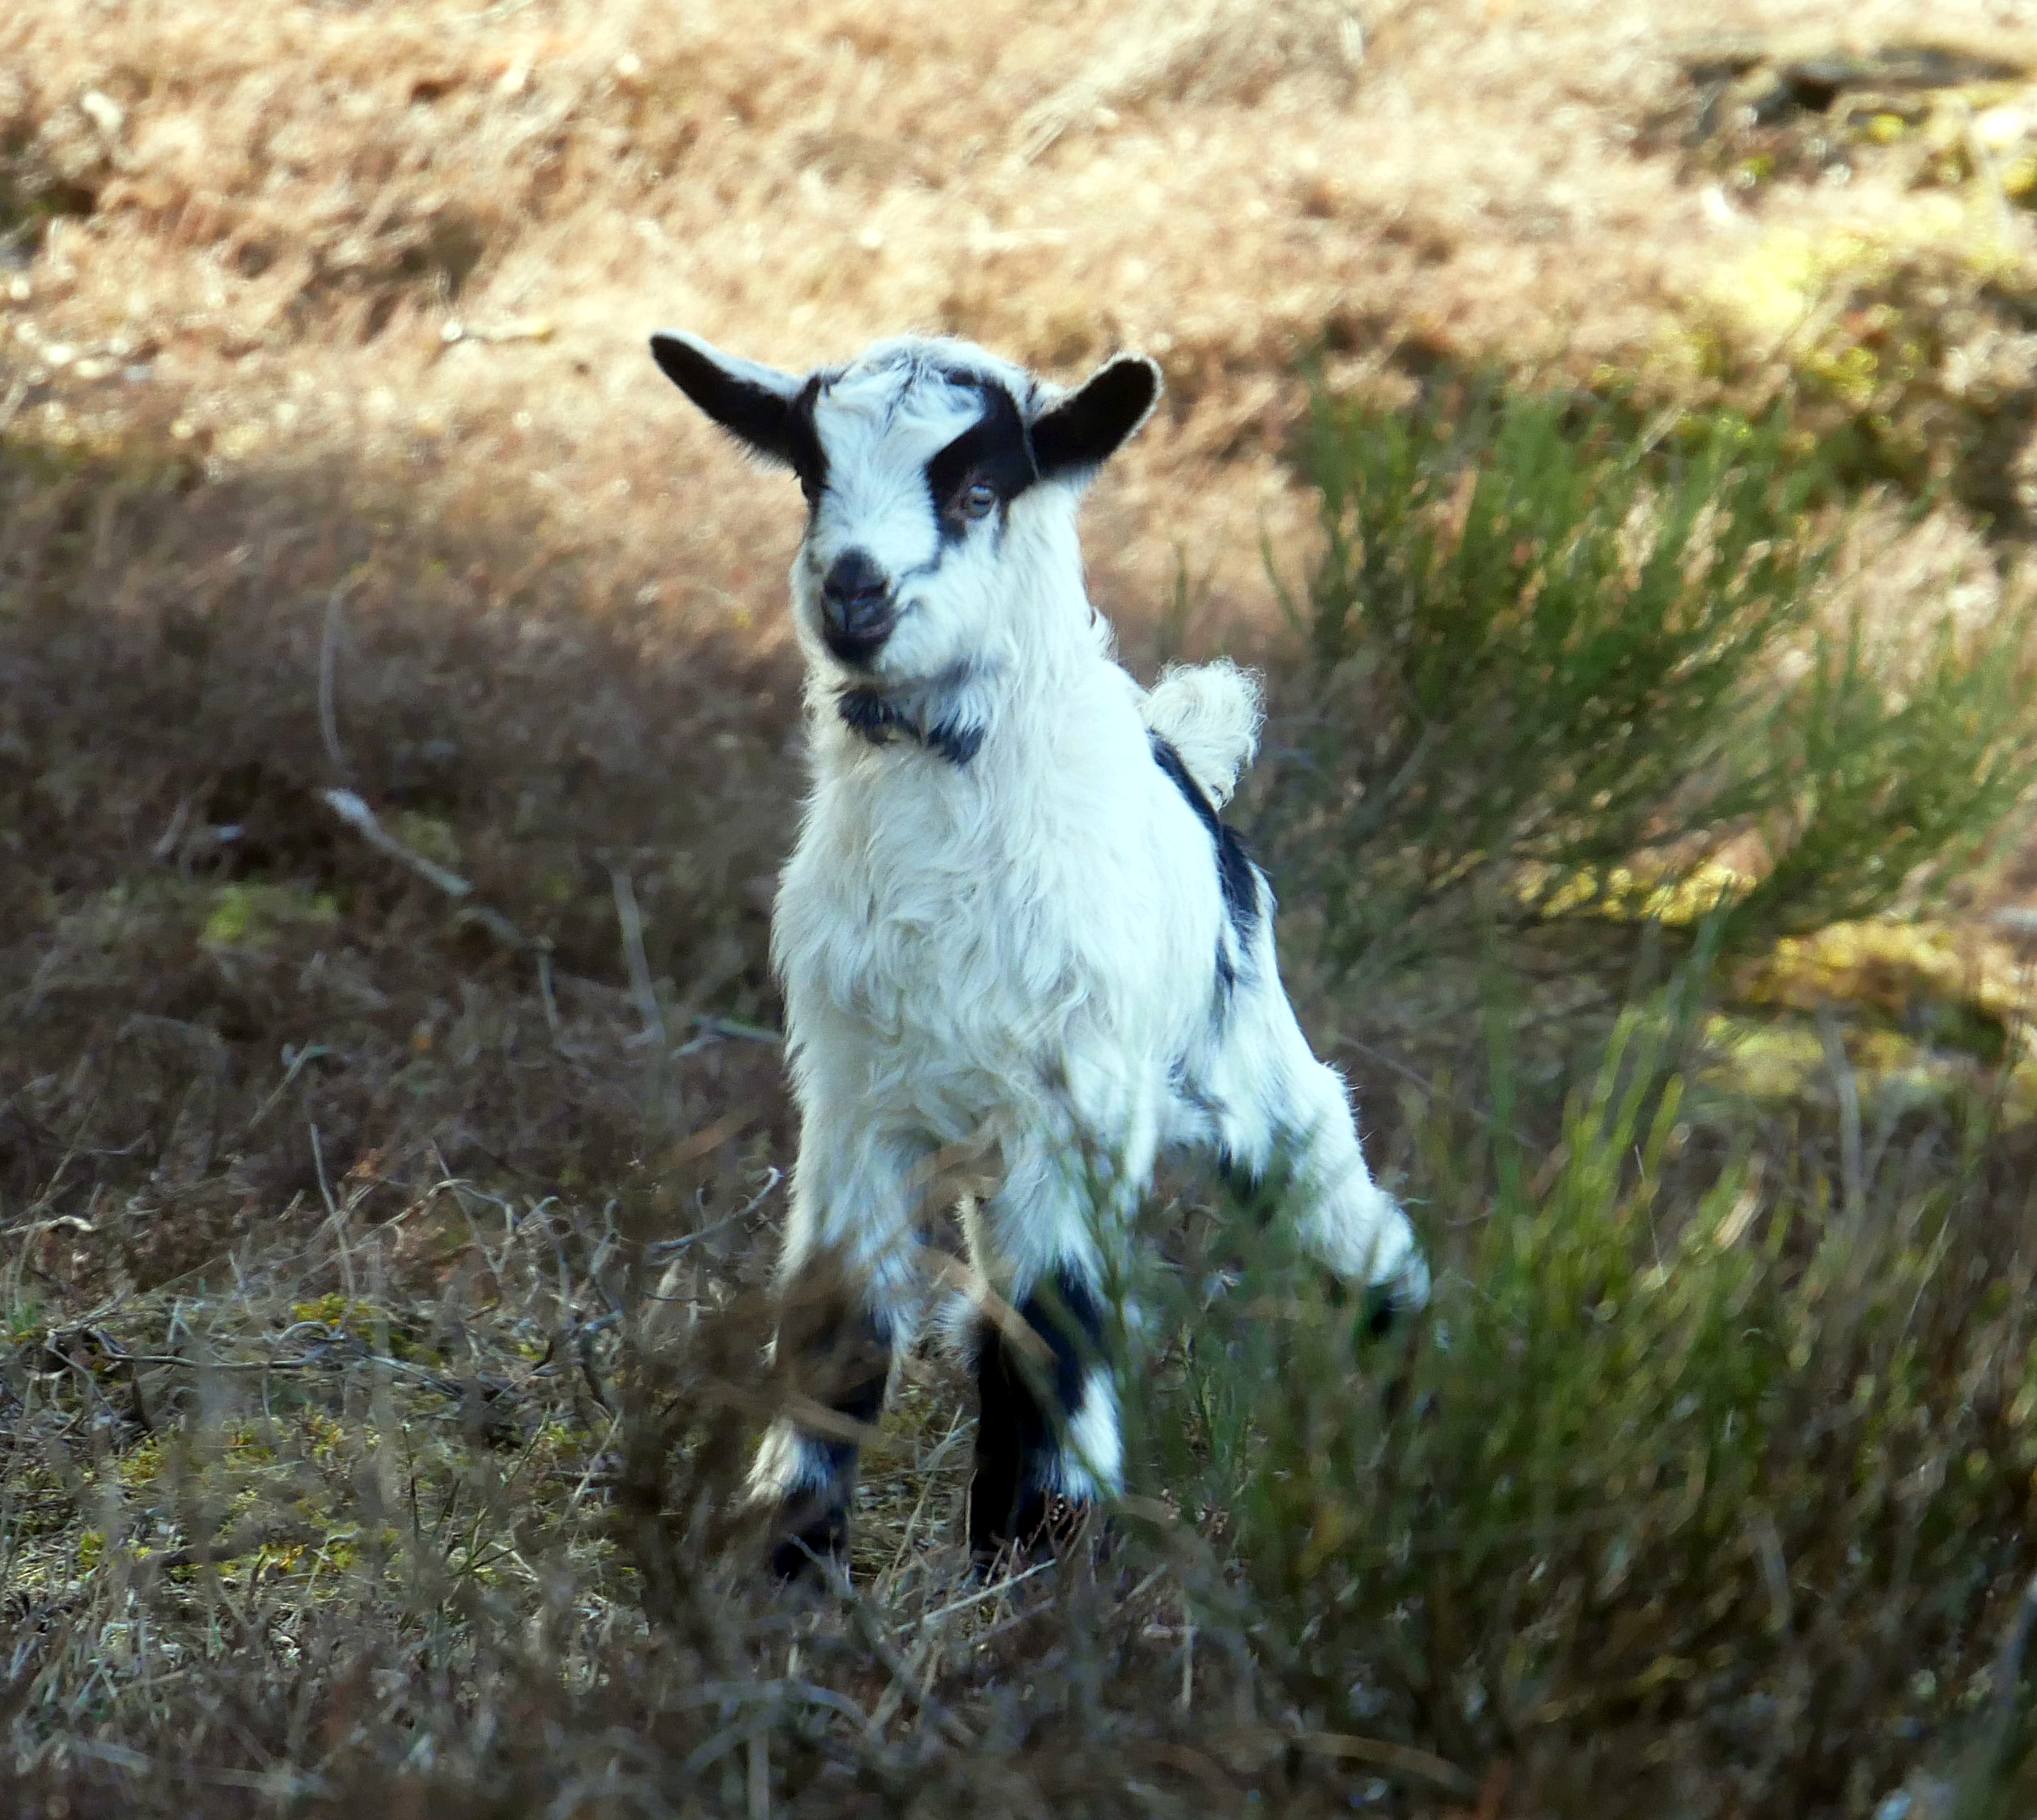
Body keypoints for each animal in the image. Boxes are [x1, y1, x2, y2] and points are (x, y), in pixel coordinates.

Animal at [643, 332, 1425, 1580]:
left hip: (1246, 1071)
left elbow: (1056, 1327)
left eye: (977, 489)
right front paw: (787, 1567)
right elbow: (838, 1322)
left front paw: (1033, 1575)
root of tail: (1183, 755)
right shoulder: (854, 1098)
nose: (851, 589)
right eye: (812, 477)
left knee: (1356, 1235)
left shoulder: (1074, 1104)